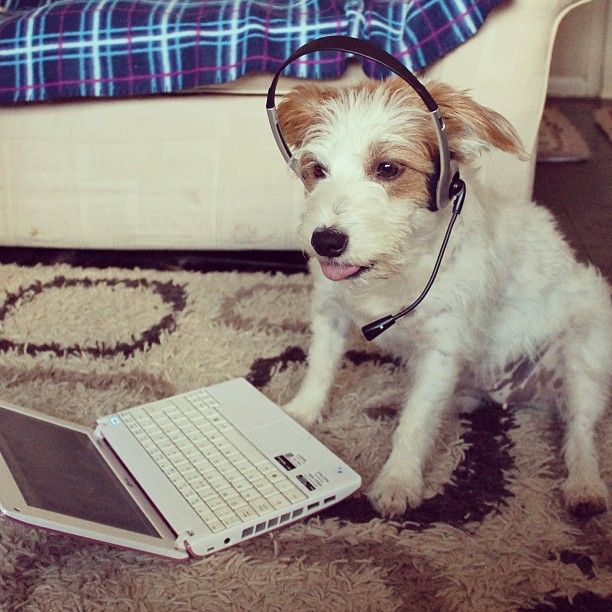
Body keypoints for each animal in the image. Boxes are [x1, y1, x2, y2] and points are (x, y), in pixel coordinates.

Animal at [276, 78, 612, 519]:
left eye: (388, 168)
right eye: (317, 170)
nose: (326, 242)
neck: (397, 266)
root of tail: (511, 393)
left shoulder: (441, 350)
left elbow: (417, 423)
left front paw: (398, 481)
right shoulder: (330, 314)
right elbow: (320, 368)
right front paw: (301, 414)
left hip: (583, 355)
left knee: (580, 430)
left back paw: (585, 485)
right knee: (455, 399)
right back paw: (391, 398)